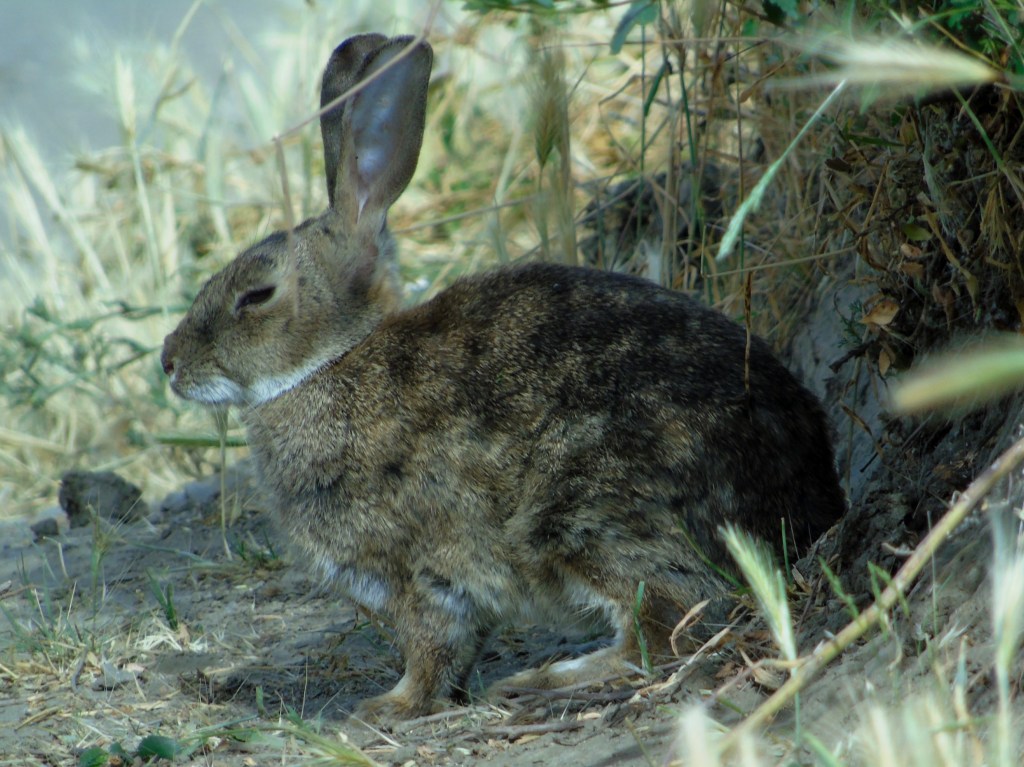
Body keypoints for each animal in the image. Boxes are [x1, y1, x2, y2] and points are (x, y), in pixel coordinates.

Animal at [161, 34, 846, 722]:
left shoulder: (413, 571)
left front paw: (388, 707)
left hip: (584, 517)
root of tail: (806, 501)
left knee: (667, 626)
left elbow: (431, 645)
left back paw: (546, 679)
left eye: (257, 295)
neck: (330, 362)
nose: (169, 362)